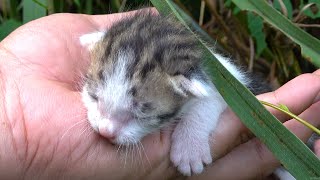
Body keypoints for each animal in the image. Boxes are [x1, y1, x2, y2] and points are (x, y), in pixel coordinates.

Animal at [80, 11, 252, 176]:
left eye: (141, 115)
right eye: (93, 96)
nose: (105, 132)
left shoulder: (231, 83)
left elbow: (209, 101)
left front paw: (189, 149)